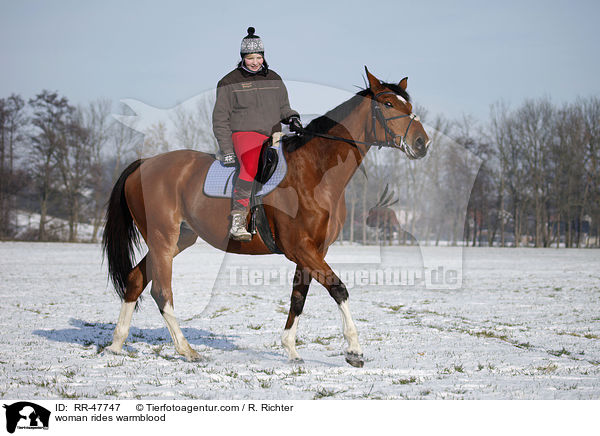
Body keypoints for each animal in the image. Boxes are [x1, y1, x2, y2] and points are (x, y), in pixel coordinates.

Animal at [104, 69, 432, 368]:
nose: (422, 143)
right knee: (162, 292)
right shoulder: (300, 248)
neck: (314, 172)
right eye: (387, 104)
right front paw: (354, 350)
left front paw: (291, 349)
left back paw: (117, 344)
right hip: (163, 238)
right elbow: (338, 288)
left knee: (135, 279)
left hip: (176, 240)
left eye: (408, 106)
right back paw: (186, 349)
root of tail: (144, 163)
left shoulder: (314, 250)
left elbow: (299, 296)